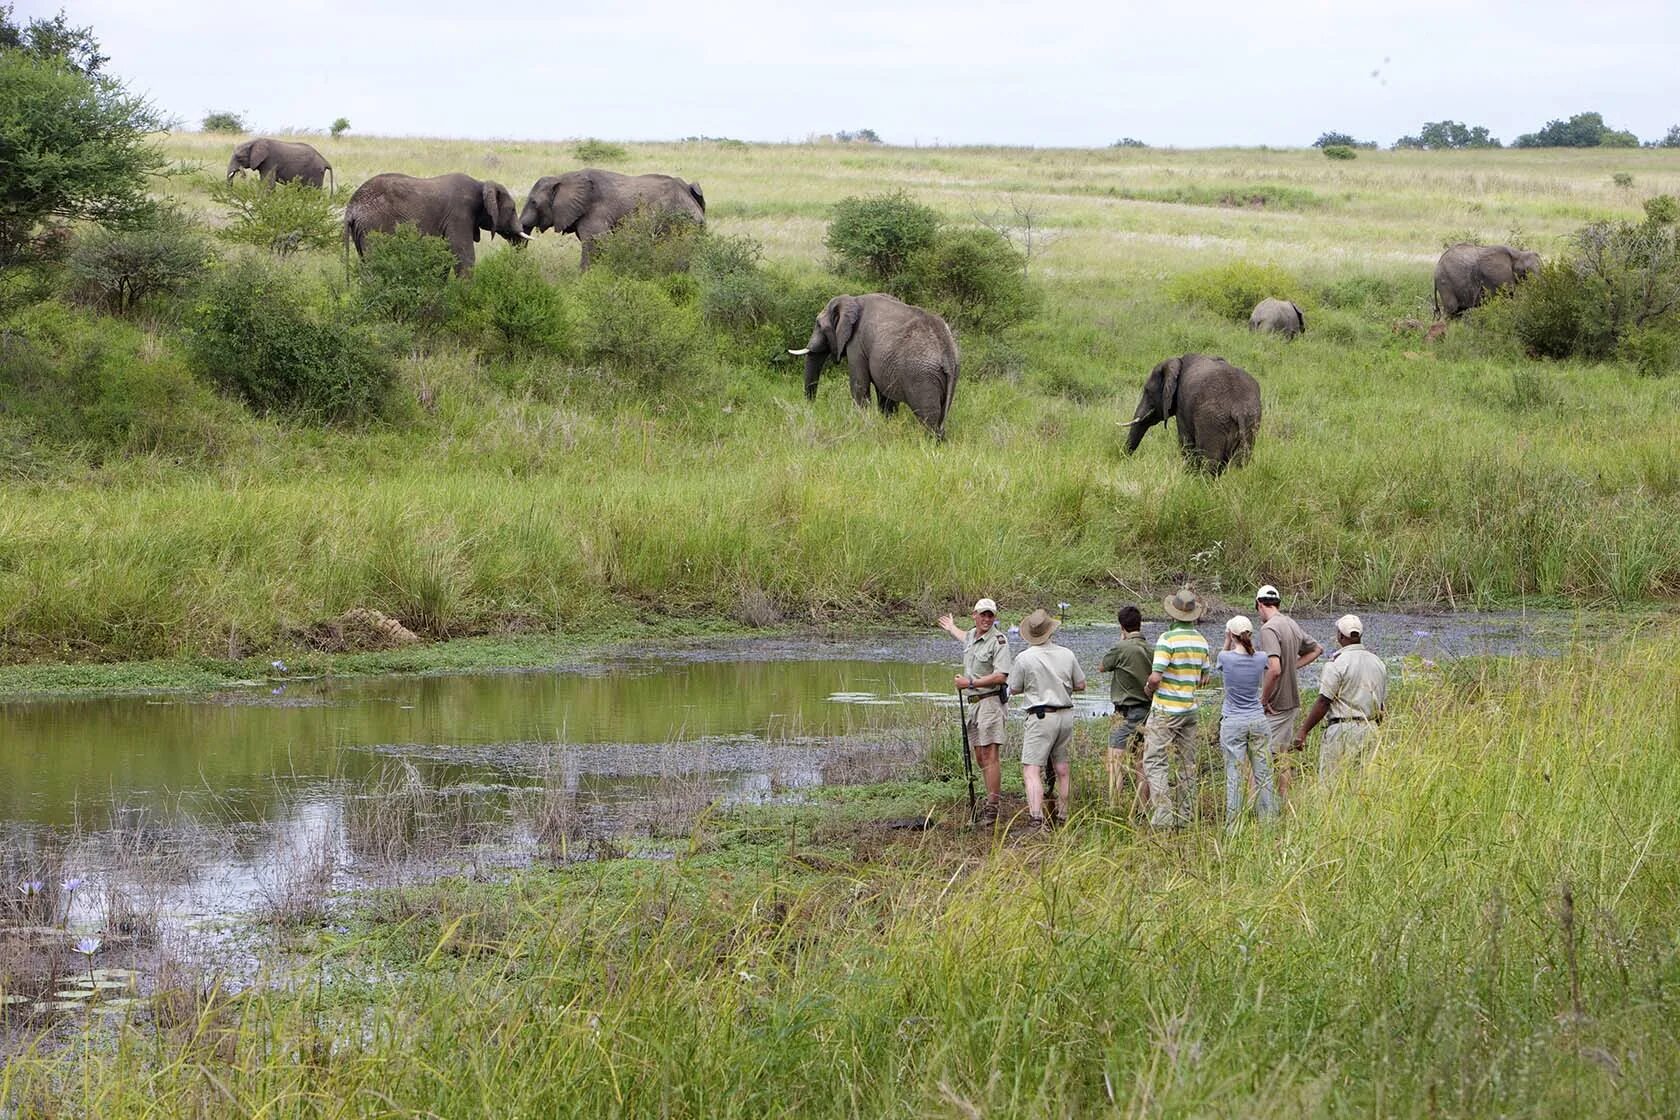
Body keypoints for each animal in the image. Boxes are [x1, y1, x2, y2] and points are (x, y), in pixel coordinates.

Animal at [341, 172, 524, 275]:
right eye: (513, 209)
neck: (481, 184)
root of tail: (351, 208)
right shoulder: (459, 215)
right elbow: (464, 256)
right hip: (374, 225)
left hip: (361, 229)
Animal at [786, 293, 960, 436]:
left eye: (818, 325)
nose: (811, 407)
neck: (853, 300)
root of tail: (947, 355)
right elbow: (885, 395)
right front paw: (887, 423)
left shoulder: (856, 344)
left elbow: (859, 385)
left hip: (921, 376)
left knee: (928, 418)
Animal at [1128, 350, 1263, 473]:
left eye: (1147, 391)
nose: (1125, 459)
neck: (1178, 361)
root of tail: (1239, 409)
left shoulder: (1182, 404)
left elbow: (1186, 441)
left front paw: (1188, 477)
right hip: (1251, 423)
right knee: (1240, 461)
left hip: (1211, 421)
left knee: (1210, 459)